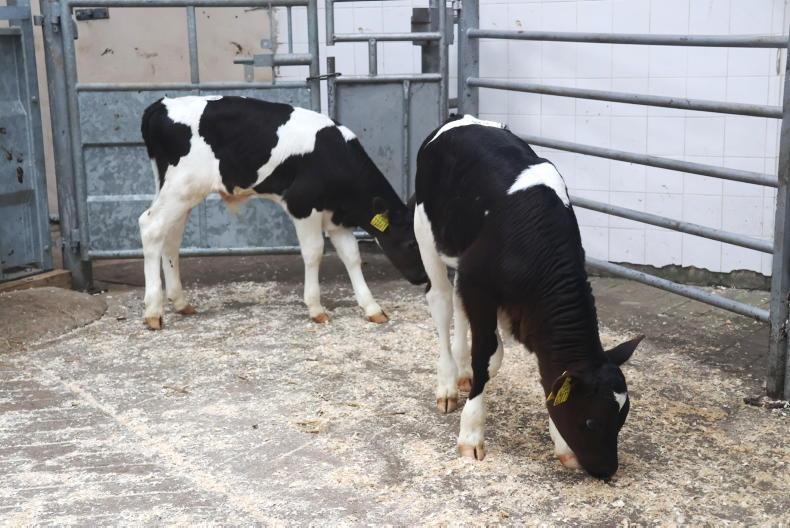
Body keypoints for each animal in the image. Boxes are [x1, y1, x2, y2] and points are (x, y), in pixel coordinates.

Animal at [139, 95, 427, 330]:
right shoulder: (302, 206)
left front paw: (372, 307)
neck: (334, 155)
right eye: (412, 244)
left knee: (171, 237)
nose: (424, 278)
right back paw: (153, 312)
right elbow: (314, 252)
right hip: (181, 187)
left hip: (178, 192)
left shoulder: (336, 217)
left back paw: (180, 302)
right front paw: (316, 308)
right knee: (151, 227)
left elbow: (352, 256)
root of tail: (161, 104)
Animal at [413, 114, 643, 480]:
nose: (607, 470)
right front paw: (471, 434)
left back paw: (461, 374)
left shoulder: (486, 287)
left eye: (623, 416)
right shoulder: (482, 286)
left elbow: (548, 374)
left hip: (462, 260)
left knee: (460, 309)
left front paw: (561, 443)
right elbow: (489, 356)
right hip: (426, 231)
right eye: (591, 422)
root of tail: (461, 118)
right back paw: (447, 384)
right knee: (442, 301)